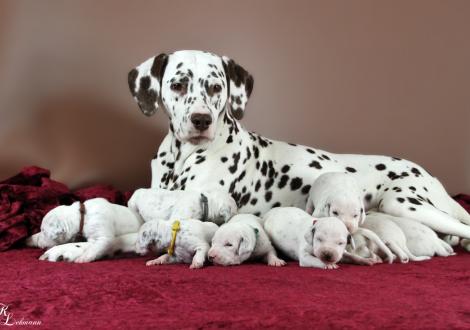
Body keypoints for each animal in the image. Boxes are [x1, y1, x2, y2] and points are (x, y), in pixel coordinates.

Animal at [40, 49, 470, 262]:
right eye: (178, 84)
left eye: (215, 87)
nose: (200, 120)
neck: (183, 156)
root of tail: (426, 172)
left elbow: (123, 237)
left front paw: (67, 249)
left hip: (405, 204)